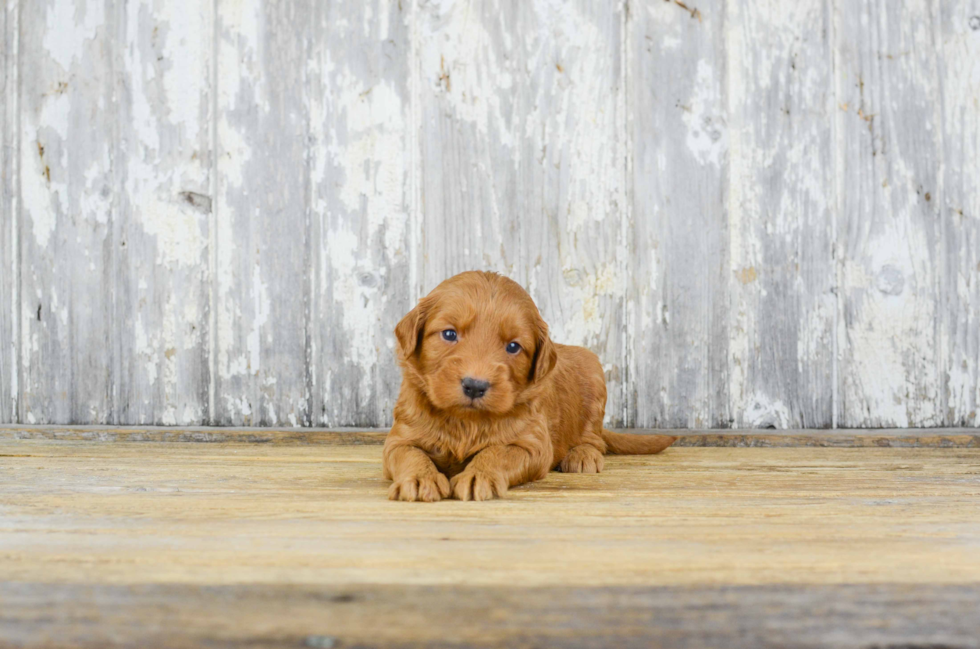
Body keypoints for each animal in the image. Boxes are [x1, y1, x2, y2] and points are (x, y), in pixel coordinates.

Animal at [380, 268, 672, 502]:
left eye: (513, 347)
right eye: (449, 334)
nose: (475, 385)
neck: (467, 421)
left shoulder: (533, 445)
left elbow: (497, 452)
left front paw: (478, 475)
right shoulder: (399, 439)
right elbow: (410, 454)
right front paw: (419, 479)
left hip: (594, 375)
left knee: (594, 438)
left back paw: (583, 455)